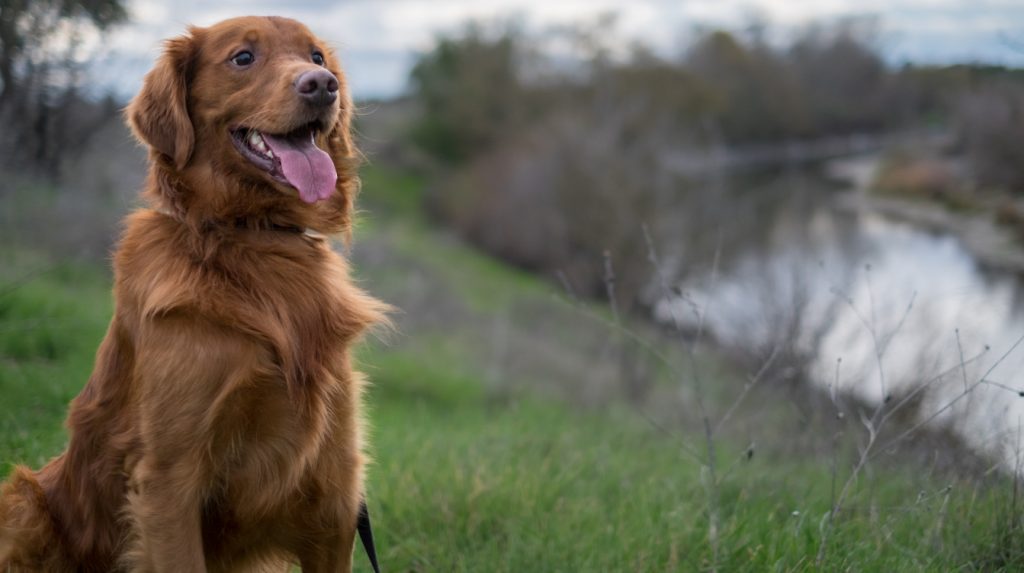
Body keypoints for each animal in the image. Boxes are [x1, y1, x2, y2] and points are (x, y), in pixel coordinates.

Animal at [0, 15, 387, 568]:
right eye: (243, 57)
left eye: (316, 57)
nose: (322, 85)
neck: (251, 238)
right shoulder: (169, 477)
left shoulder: (335, 493)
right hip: (22, 501)